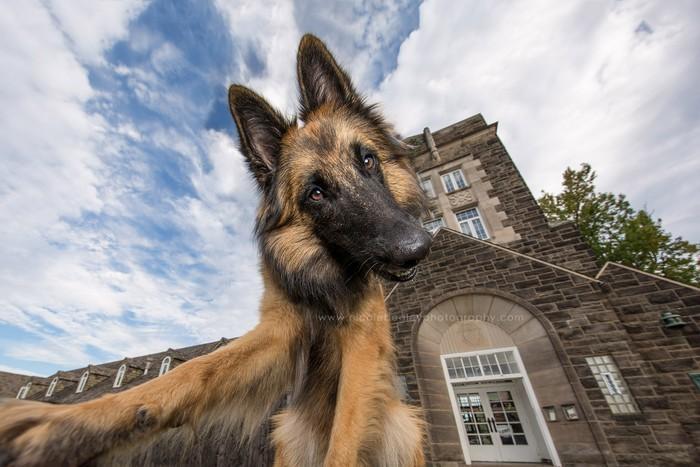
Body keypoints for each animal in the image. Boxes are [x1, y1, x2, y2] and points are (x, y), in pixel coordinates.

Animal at [0, 33, 432, 467]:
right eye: (316, 193)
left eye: (368, 160)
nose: (417, 247)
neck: (321, 280)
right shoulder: (278, 333)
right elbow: (191, 372)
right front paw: (70, 422)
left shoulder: (364, 341)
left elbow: (346, 431)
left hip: (403, 426)